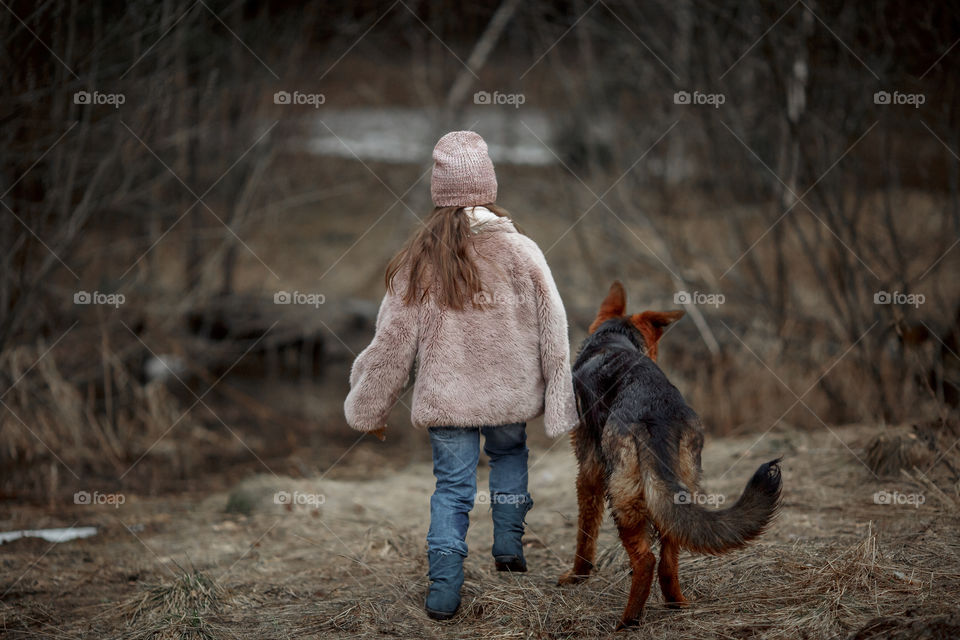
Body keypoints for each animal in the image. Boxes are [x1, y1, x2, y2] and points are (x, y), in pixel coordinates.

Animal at [560, 282, 784, 632]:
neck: (613, 338)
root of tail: (656, 411)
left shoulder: (589, 471)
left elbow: (586, 533)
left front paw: (577, 576)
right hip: (675, 490)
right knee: (669, 555)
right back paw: (675, 603)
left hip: (622, 495)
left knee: (646, 560)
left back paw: (628, 621)